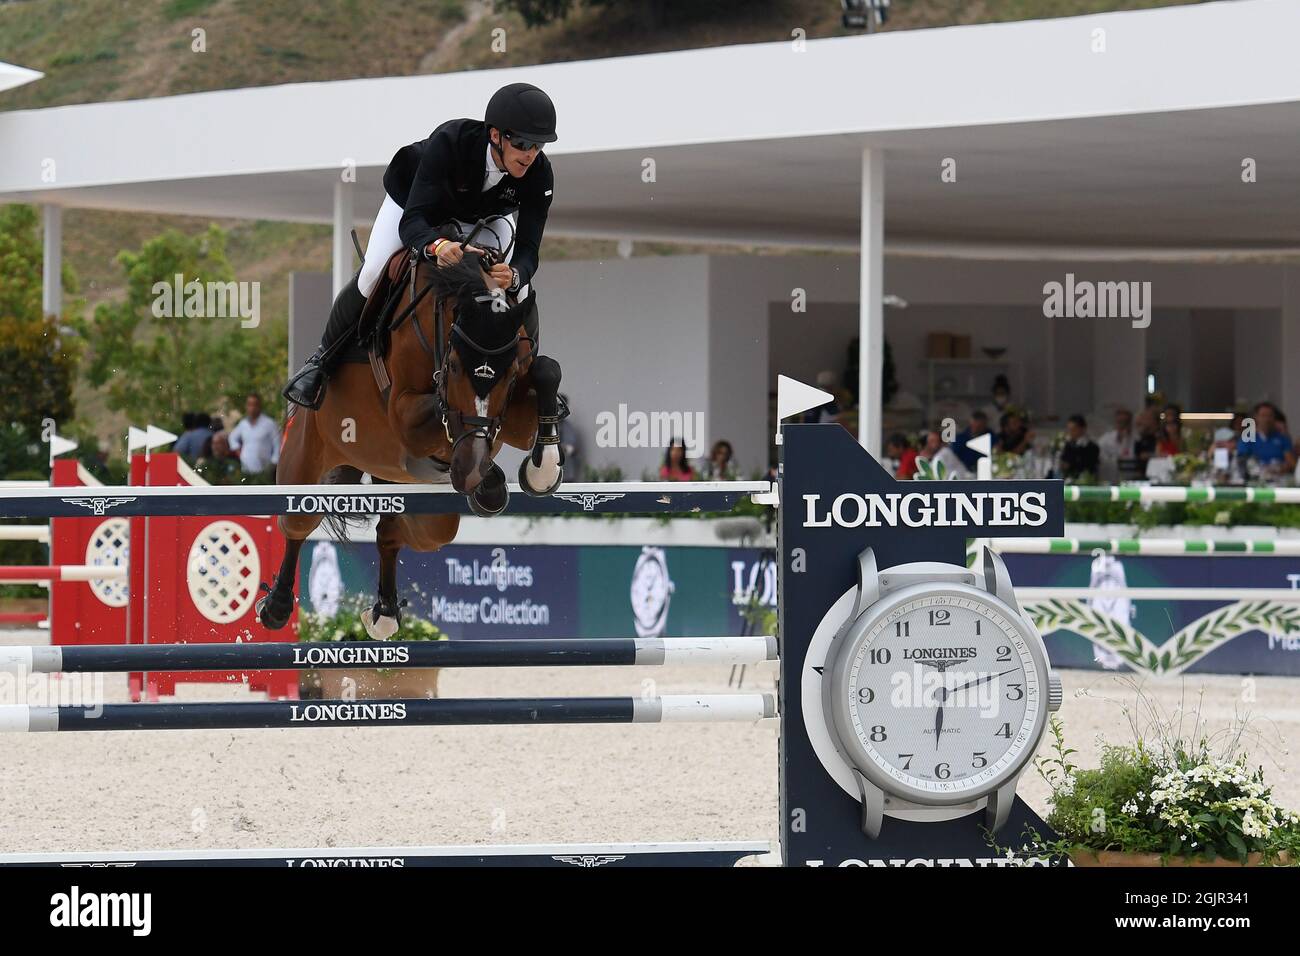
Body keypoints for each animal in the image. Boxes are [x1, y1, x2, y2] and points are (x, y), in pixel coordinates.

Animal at [257, 240, 564, 642]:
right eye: (453, 366)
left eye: (510, 373)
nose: (467, 472)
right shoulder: (405, 414)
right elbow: (441, 408)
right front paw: (488, 477)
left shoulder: (514, 414)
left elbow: (547, 371)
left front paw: (540, 472)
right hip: (304, 467)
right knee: (295, 526)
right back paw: (276, 607)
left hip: (420, 509)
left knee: (394, 531)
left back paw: (385, 611)